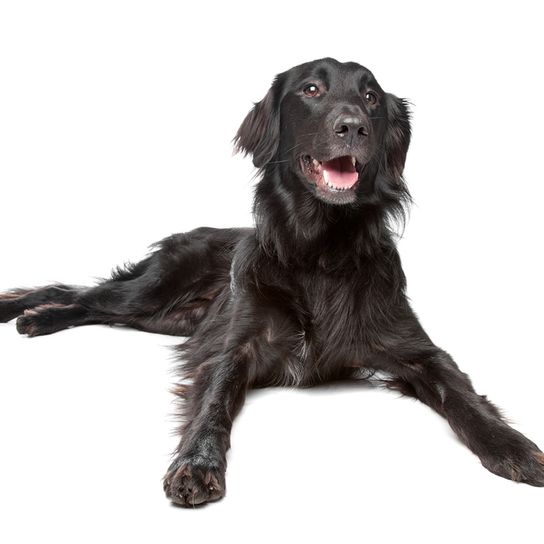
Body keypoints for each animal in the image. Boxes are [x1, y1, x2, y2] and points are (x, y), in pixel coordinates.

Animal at [1, 57, 544, 504]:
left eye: (372, 97)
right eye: (311, 89)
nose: (353, 126)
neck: (320, 252)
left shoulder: (416, 349)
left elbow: (464, 396)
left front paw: (514, 448)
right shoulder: (235, 346)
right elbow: (214, 401)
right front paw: (196, 463)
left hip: (164, 319)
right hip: (152, 291)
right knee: (86, 295)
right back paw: (29, 313)